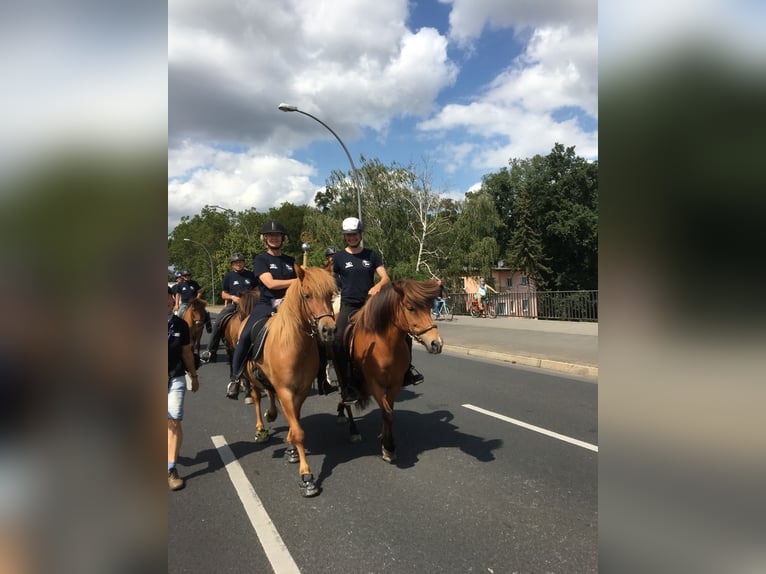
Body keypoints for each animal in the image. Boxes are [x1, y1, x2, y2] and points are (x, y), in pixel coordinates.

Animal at [244, 268, 338, 498]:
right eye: (307, 296)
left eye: (330, 295)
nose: (329, 330)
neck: (294, 345)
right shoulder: (286, 390)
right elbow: (299, 431)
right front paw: (307, 477)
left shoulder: (301, 391)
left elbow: (295, 421)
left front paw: (291, 448)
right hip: (252, 379)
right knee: (257, 398)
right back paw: (261, 429)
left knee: (271, 396)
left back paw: (272, 414)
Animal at [342, 282, 444, 466]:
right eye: (411, 308)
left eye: (429, 308)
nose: (436, 343)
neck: (384, 344)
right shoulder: (374, 384)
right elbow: (387, 413)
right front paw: (388, 447)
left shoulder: (395, 383)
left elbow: (388, 413)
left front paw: (386, 443)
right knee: (344, 399)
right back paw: (353, 430)